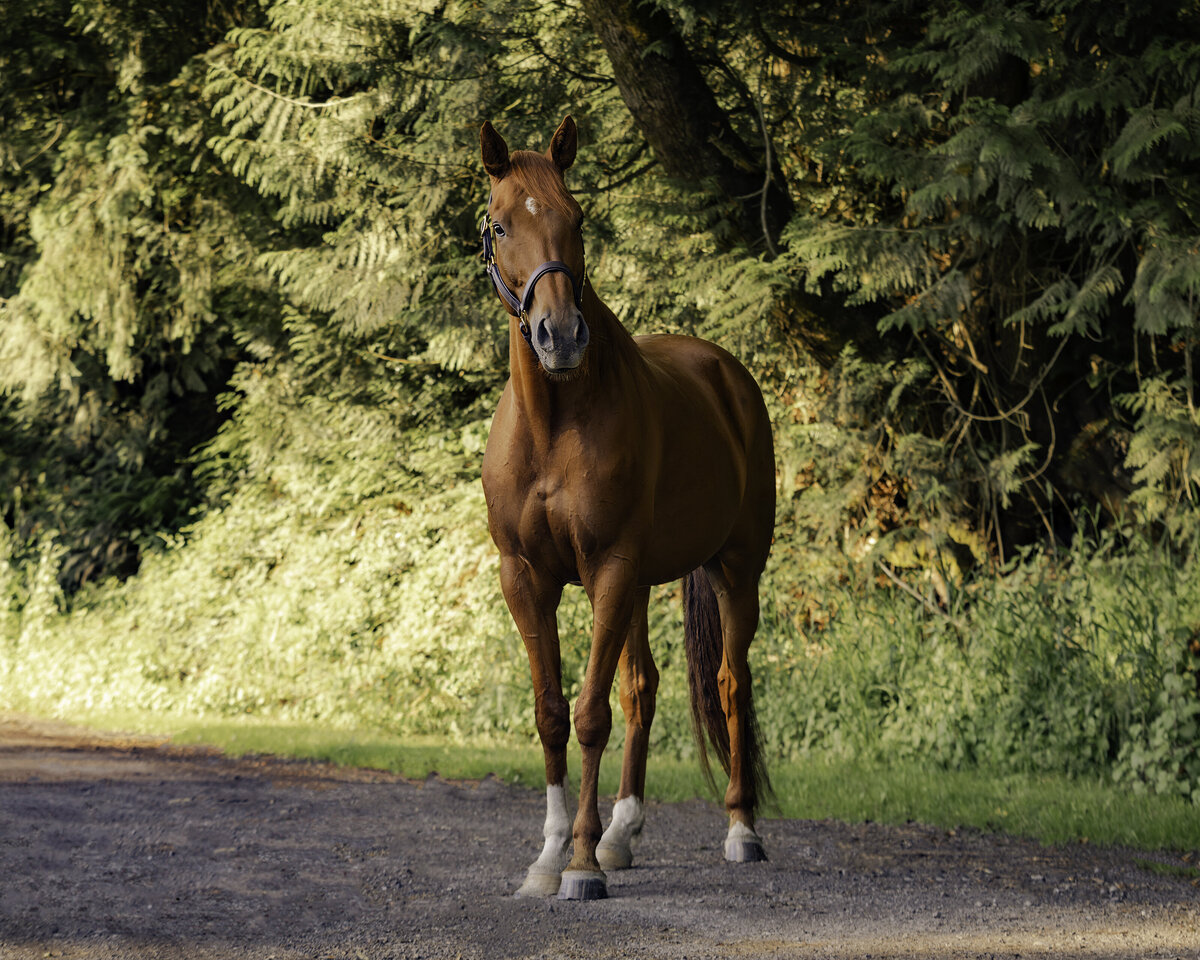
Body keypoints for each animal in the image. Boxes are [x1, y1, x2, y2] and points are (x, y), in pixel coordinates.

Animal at [480, 114, 772, 902]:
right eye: (499, 226)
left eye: (576, 218)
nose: (560, 336)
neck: (554, 422)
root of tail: (724, 371)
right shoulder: (527, 578)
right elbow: (553, 713)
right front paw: (552, 855)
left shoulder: (609, 567)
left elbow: (589, 715)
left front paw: (579, 864)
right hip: (640, 584)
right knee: (643, 687)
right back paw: (622, 834)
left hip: (736, 571)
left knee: (731, 683)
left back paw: (741, 830)